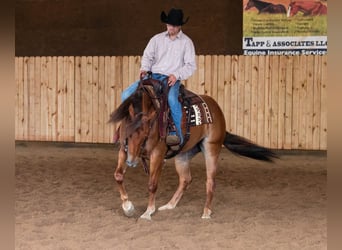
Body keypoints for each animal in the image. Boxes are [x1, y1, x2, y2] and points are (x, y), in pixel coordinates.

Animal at [110, 77, 278, 220]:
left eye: (146, 131)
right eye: (126, 129)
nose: (132, 162)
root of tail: (216, 109)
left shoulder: (157, 154)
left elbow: (152, 184)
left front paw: (148, 212)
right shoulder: (124, 150)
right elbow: (118, 175)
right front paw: (128, 207)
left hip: (211, 148)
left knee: (210, 181)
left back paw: (206, 212)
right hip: (183, 155)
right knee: (185, 179)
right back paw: (169, 205)